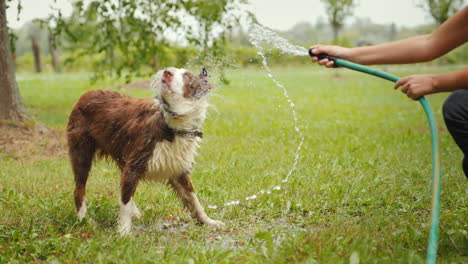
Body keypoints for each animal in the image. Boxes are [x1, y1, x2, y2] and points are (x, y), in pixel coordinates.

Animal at [67, 67, 225, 234]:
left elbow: (194, 200)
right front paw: (123, 233)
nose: (167, 71)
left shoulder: (178, 169)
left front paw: (209, 221)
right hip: (82, 153)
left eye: (187, 75)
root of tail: (86, 94)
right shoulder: (135, 163)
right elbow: (125, 202)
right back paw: (84, 221)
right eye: (173, 70)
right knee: (79, 190)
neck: (171, 126)